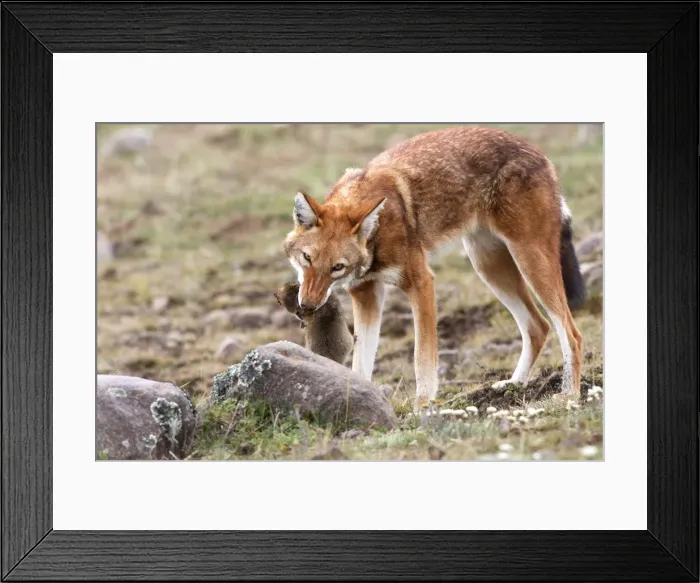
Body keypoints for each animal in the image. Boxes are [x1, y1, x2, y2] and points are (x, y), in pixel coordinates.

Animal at [283, 126, 586, 411]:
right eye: (307, 259)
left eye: (337, 267)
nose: (307, 305)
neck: (377, 232)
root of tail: (539, 152)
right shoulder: (366, 294)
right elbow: (361, 364)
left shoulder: (421, 283)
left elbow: (422, 357)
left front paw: (422, 406)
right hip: (488, 267)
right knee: (538, 327)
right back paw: (514, 385)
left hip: (529, 262)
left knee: (571, 333)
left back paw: (569, 395)